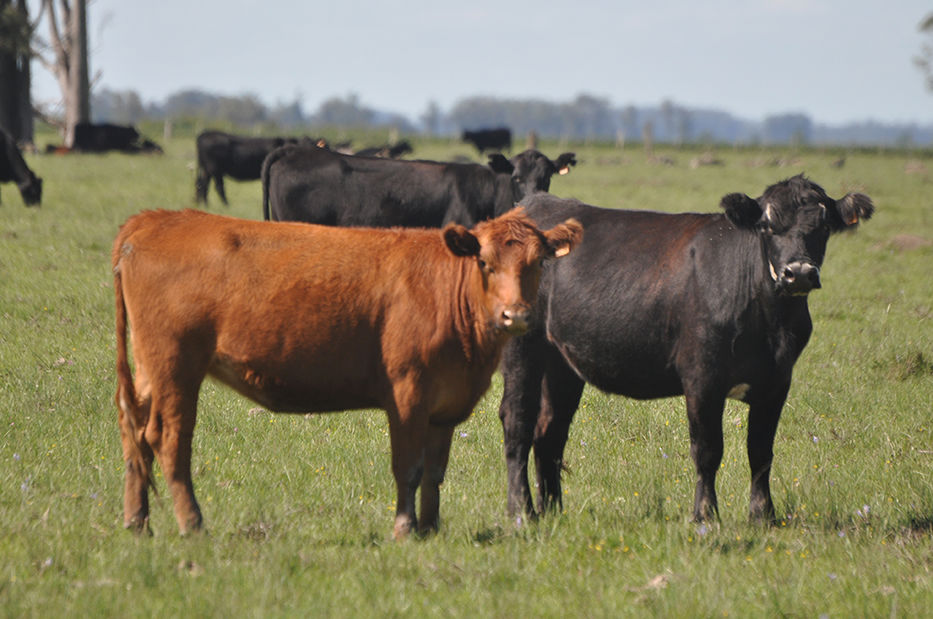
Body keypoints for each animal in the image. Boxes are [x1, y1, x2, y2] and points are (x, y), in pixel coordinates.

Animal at [113, 207, 583, 539]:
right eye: (484, 262)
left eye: (539, 263)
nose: (515, 315)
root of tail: (152, 220)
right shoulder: (407, 395)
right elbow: (408, 467)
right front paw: (405, 530)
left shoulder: (445, 405)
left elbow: (434, 472)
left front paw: (431, 528)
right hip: (175, 367)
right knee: (168, 440)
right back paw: (192, 524)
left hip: (151, 372)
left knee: (135, 435)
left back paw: (137, 522)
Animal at [497, 175, 874, 525]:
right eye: (768, 226)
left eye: (823, 227)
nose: (799, 274)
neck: (771, 321)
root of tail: (534, 205)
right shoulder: (702, 376)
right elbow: (708, 449)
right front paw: (705, 514)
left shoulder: (777, 382)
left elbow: (761, 450)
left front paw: (763, 515)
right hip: (522, 348)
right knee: (518, 422)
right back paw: (522, 510)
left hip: (561, 362)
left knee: (550, 431)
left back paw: (552, 510)